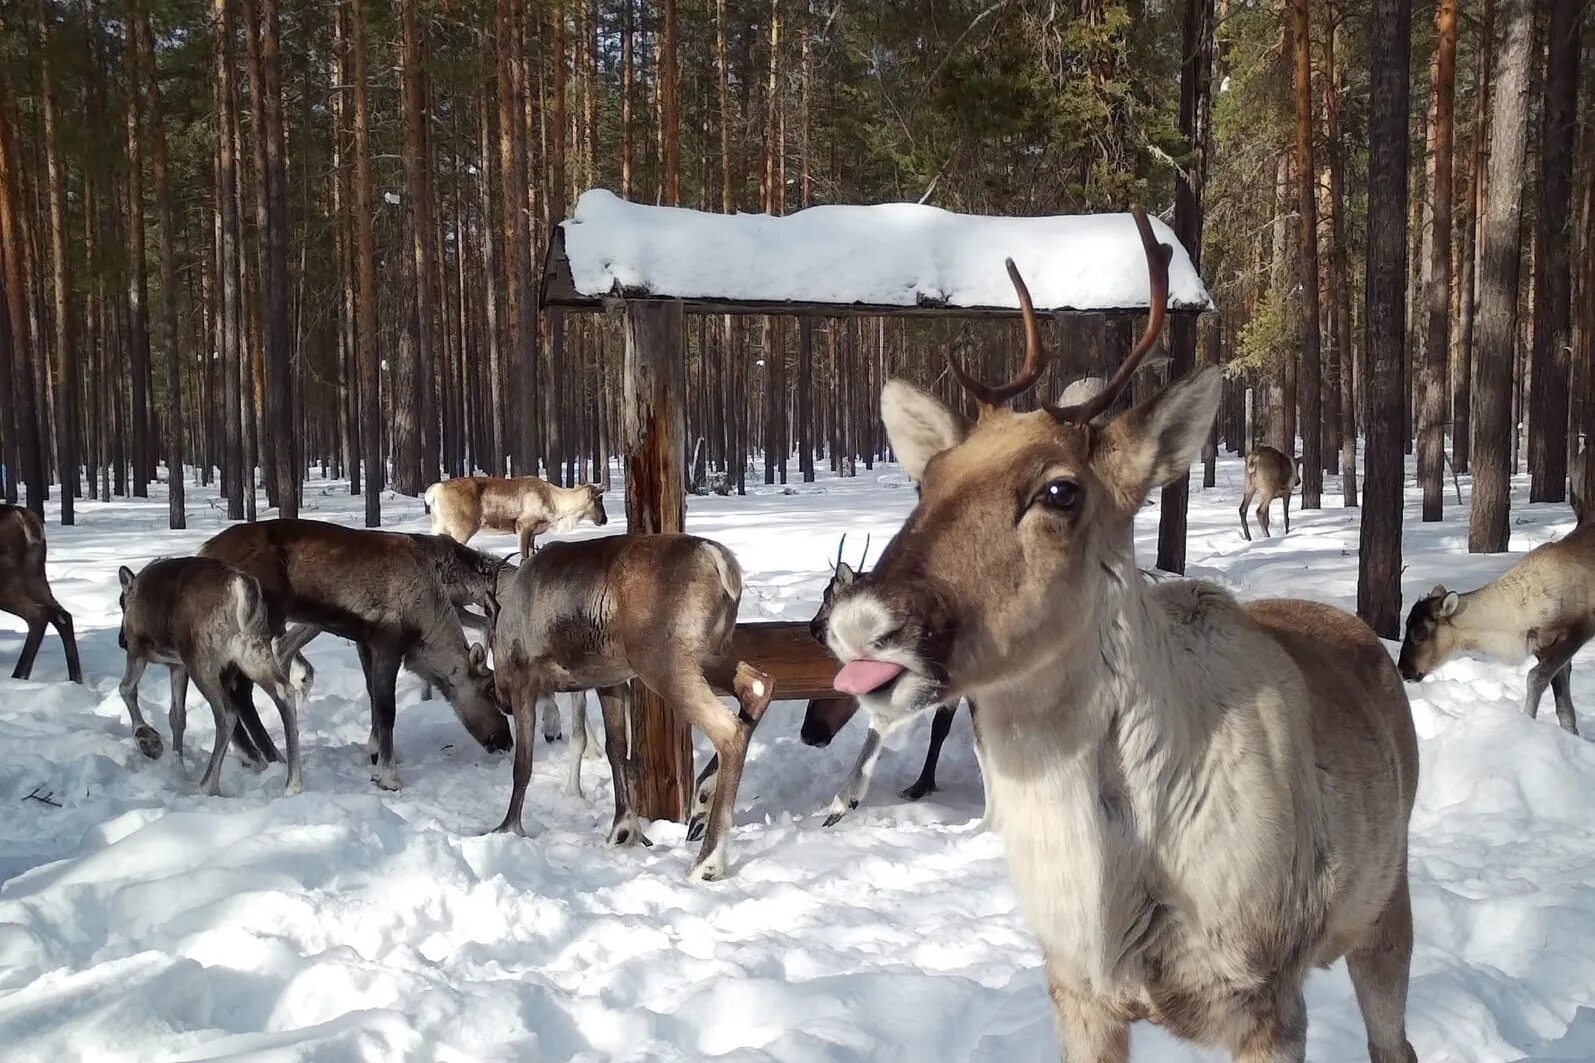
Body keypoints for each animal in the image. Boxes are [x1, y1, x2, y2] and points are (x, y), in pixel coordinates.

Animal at [0, 504, 80, 679]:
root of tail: (23, 515)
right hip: (35, 575)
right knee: (62, 615)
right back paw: (76, 679)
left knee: (39, 614)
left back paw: (18, 677)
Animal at [116, 558, 303, 791]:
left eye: (121, 603)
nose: (121, 640)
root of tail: (241, 586)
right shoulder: (177, 665)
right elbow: (177, 716)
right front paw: (178, 765)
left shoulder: (138, 651)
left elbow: (126, 689)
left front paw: (148, 740)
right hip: (252, 651)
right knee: (284, 691)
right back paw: (292, 784)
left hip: (201, 659)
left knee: (226, 713)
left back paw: (207, 785)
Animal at [427, 472, 606, 555]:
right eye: (599, 499)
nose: (604, 519)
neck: (555, 503)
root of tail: (435, 491)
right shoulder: (523, 526)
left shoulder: (533, 533)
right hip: (462, 528)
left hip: (439, 525)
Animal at [491, 533, 778, 881]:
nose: (501, 701)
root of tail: (718, 559)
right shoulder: (610, 681)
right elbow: (617, 750)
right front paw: (624, 828)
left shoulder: (523, 680)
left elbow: (523, 764)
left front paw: (507, 828)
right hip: (711, 653)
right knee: (758, 687)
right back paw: (703, 798)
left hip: (664, 663)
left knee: (728, 730)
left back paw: (707, 860)